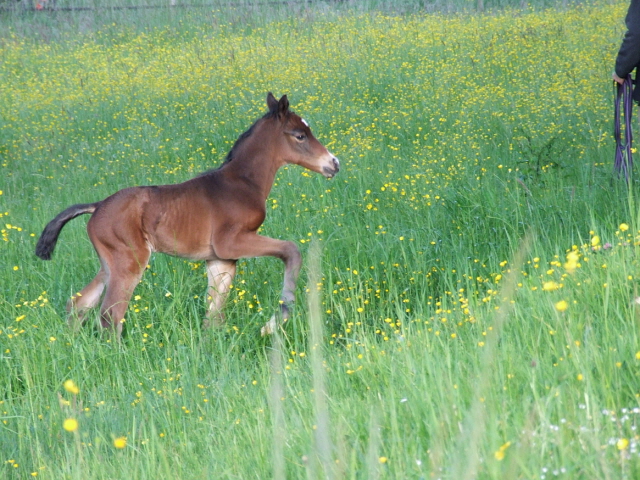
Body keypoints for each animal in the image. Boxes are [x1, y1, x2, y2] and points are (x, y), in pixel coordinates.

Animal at [35, 93, 340, 338]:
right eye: (300, 135)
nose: (334, 163)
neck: (242, 182)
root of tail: (97, 205)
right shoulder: (231, 241)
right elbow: (291, 250)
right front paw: (274, 322)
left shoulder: (220, 258)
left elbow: (214, 313)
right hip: (130, 260)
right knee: (110, 315)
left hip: (109, 262)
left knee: (78, 304)